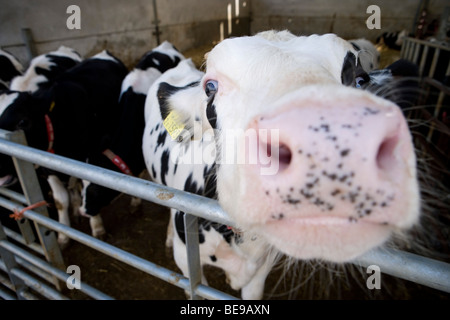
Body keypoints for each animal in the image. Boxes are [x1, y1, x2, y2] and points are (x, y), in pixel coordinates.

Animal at [0, 50, 128, 245]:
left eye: (22, 122)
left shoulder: (88, 154)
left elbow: (89, 185)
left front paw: (97, 226)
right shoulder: (47, 164)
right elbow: (60, 200)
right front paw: (63, 234)